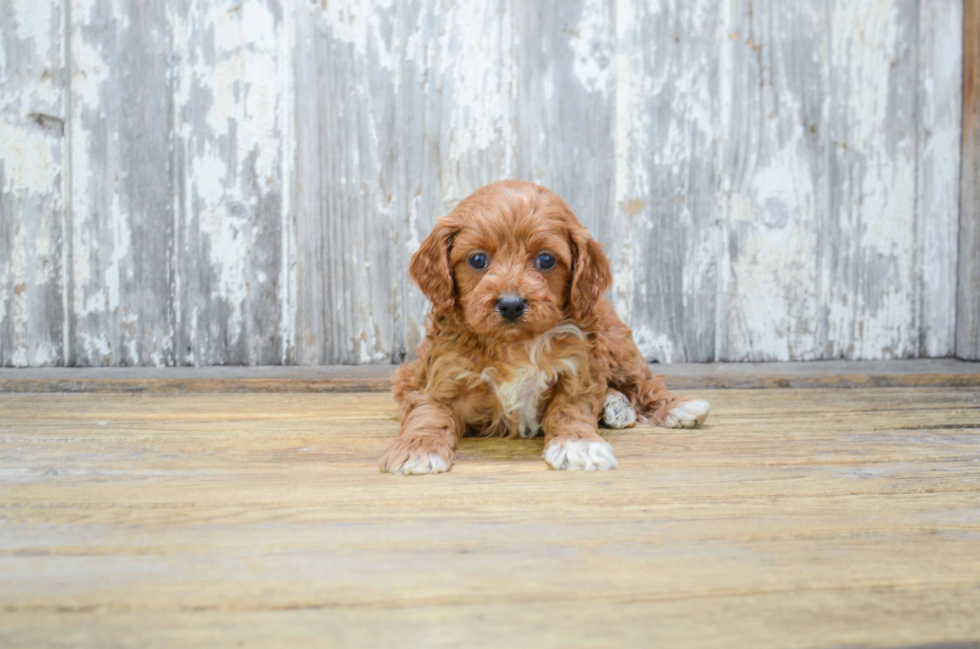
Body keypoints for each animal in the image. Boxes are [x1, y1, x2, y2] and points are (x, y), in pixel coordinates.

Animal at [378, 180, 708, 474]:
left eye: (546, 259)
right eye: (478, 259)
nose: (511, 304)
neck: (514, 344)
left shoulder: (578, 368)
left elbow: (571, 407)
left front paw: (579, 445)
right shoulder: (438, 380)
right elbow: (428, 414)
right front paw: (418, 449)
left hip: (616, 343)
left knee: (643, 381)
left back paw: (676, 407)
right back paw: (616, 405)